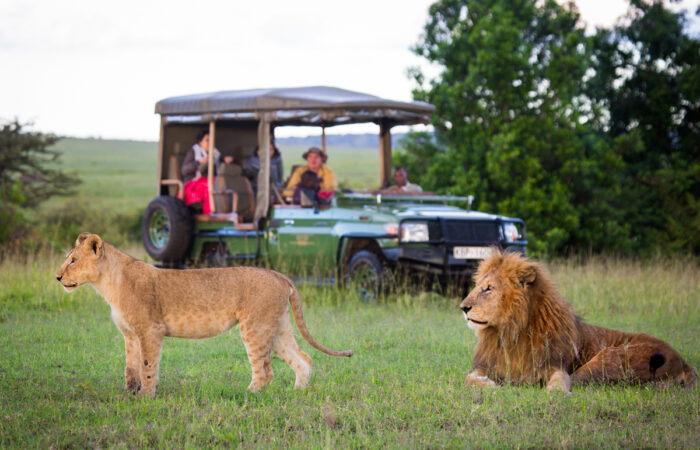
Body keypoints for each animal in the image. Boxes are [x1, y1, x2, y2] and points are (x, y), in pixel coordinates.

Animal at [56, 232, 353, 397]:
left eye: (73, 260)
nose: (57, 277)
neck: (107, 283)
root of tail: (278, 274)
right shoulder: (130, 335)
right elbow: (130, 368)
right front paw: (128, 395)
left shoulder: (151, 330)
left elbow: (148, 367)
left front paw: (146, 398)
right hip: (277, 327)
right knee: (303, 359)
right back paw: (296, 394)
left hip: (254, 327)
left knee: (265, 371)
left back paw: (244, 395)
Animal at [460, 252, 696, 392]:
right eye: (477, 286)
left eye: (488, 289)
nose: (463, 307)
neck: (510, 333)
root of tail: (684, 363)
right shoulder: (487, 364)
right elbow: (468, 378)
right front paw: (489, 385)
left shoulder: (551, 365)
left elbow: (560, 380)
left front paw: (554, 392)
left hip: (609, 356)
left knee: (577, 379)